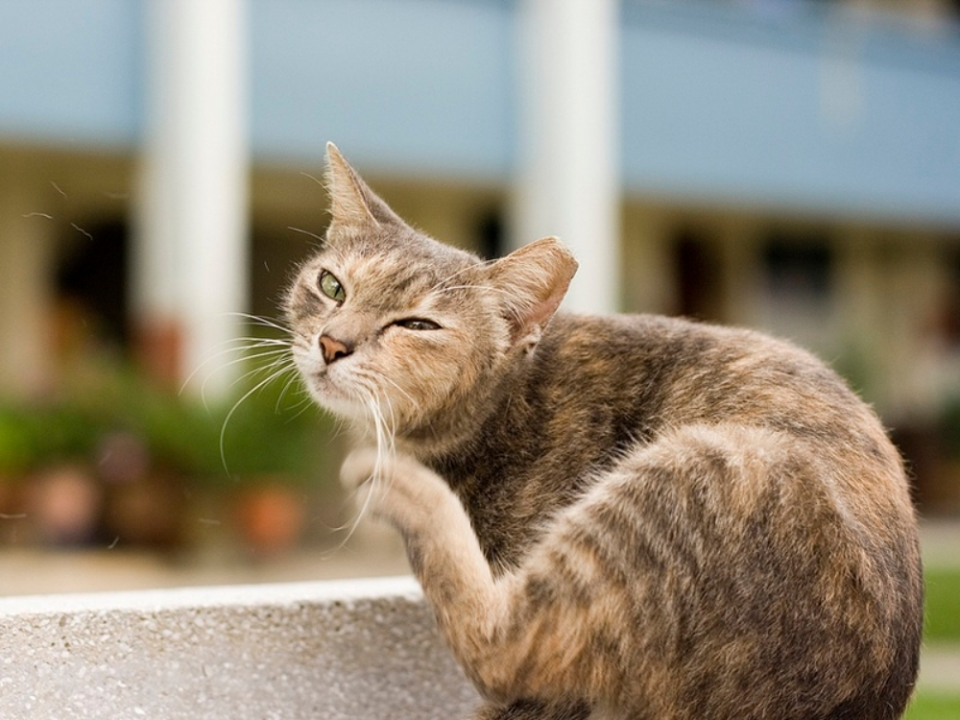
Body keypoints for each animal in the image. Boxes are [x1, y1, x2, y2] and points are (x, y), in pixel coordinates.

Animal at [284, 142, 924, 720]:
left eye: (417, 325)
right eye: (332, 285)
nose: (333, 343)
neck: (497, 410)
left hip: (706, 467)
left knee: (502, 648)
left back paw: (400, 487)